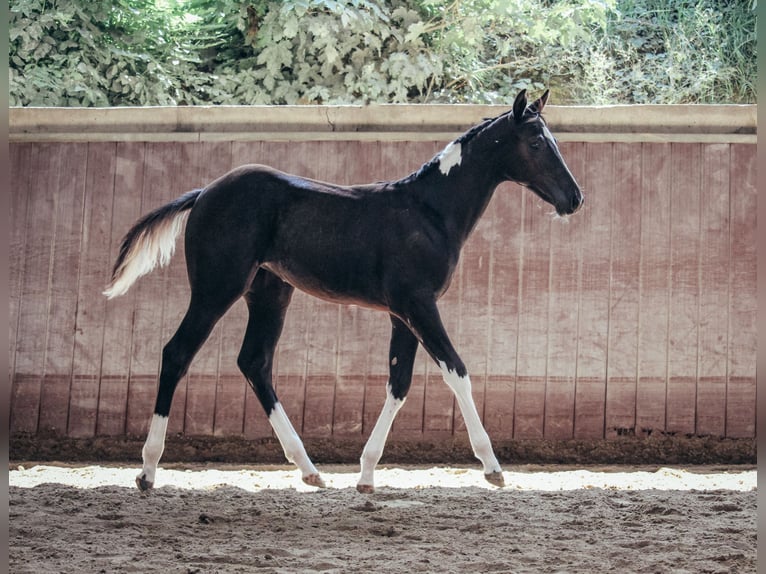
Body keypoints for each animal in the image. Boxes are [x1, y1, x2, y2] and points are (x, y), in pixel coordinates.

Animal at [104, 89, 583, 494]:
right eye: (536, 144)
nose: (575, 198)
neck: (429, 210)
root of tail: (205, 192)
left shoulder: (402, 313)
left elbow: (399, 383)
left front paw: (367, 475)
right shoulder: (419, 305)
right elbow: (457, 371)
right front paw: (492, 467)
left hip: (270, 293)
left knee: (255, 362)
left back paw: (310, 470)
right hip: (215, 288)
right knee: (177, 353)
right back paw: (147, 471)